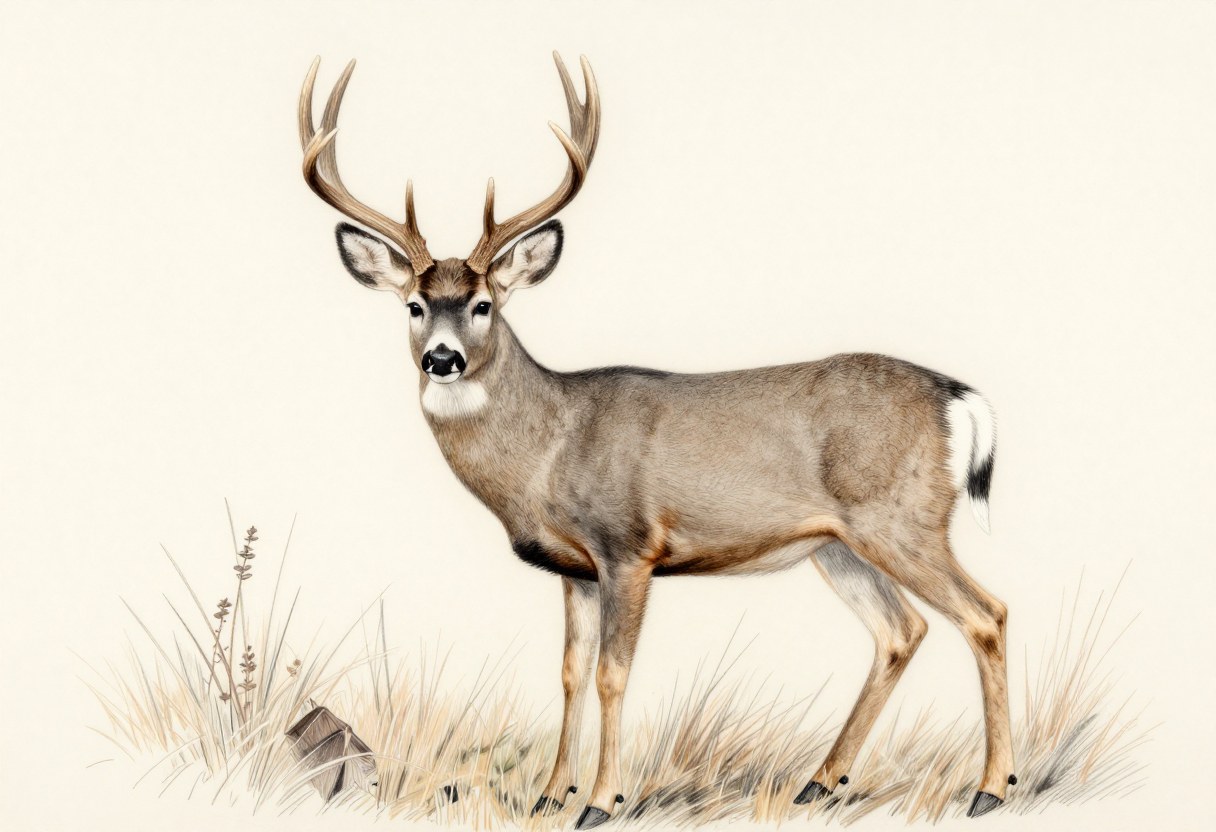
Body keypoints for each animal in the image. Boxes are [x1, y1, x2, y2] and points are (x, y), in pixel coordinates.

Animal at [298, 54, 1016, 827]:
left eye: (484, 305)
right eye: (414, 305)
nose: (441, 358)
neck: (548, 451)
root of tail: (958, 398)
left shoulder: (629, 547)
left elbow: (613, 675)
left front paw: (601, 799)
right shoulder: (575, 569)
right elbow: (570, 673)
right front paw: (551, 793)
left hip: (903, 520)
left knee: (985, 615)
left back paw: (991, 787)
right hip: (838, 544)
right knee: (901, 632)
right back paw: (822, 782)